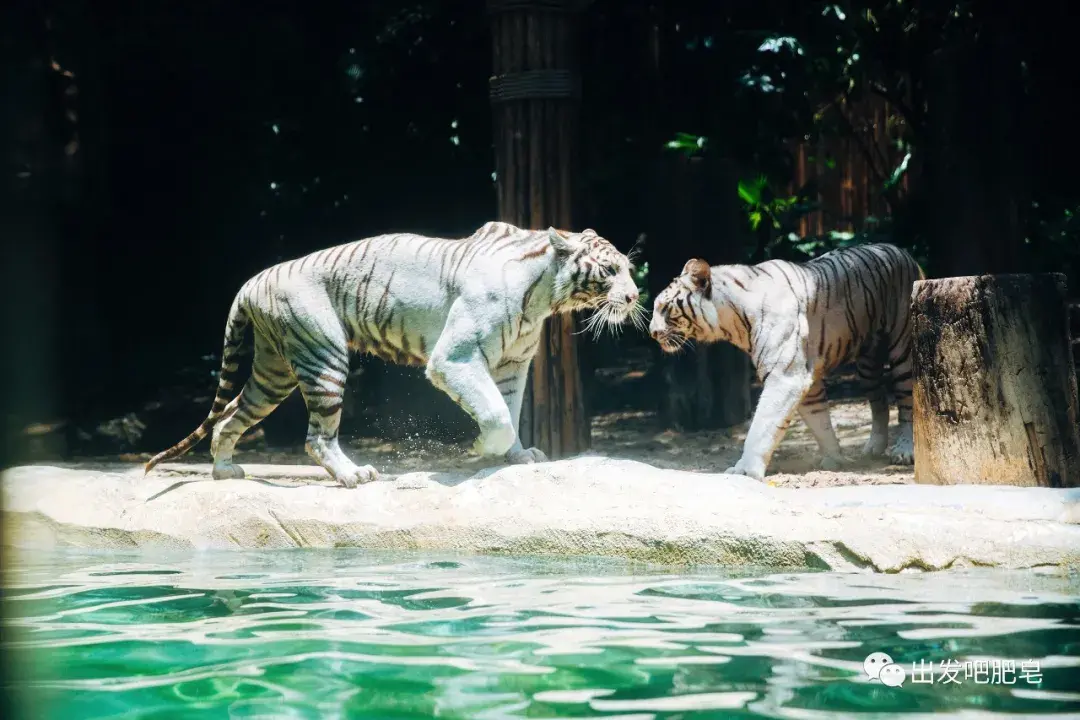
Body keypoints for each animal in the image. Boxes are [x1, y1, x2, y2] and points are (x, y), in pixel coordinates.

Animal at [147, 222, 643, 487]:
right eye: (610, 270)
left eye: (628, 268)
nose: (635, 296)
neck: (544, 296)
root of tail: (254, 280)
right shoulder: (454, 357)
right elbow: (496, 414)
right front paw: (480, 448)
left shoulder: (512, 366)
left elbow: (510, 408)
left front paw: (518, 456)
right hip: (324, 356)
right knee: (317, 437)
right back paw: (353, 476)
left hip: (274, 372)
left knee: (230, 416)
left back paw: (226, 471)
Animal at [643, 245, 924, 481]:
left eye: (665, 308)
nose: (652, 333)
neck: (732, 321)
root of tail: (903, 252)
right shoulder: (806, 379)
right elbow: (819, 420)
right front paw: (834, 458)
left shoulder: (784, 376)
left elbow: (762, 427)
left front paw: (745, 470)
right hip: (866, 365)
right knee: (879, 401)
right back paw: (873, 447)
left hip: (902, 350)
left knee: (908, 403)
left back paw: (904, 451)